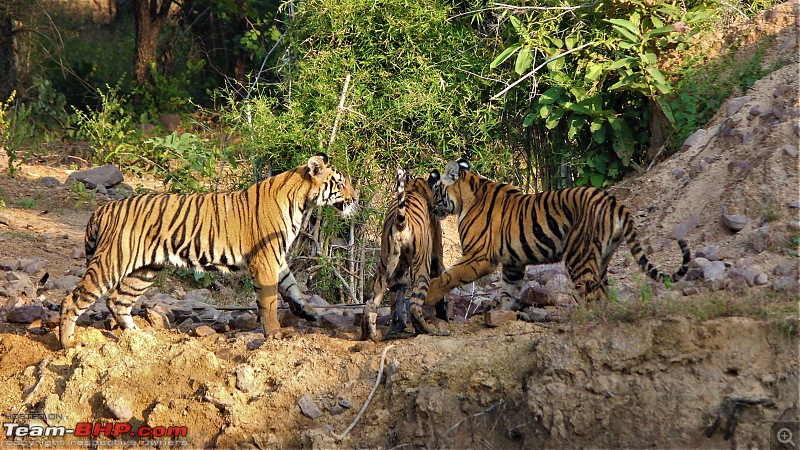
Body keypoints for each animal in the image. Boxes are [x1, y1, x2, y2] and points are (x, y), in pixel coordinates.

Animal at [62, 153, 360, 350]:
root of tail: (103, 208)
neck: (302, 201)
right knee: (74, 299)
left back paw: (140, 337)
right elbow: (269, 300)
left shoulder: (276, 257)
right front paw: (274, 332)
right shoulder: (265, 258)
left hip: (145, 269)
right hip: (112, 261)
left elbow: (292, 287)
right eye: (340, 183)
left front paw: (309, 312)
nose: (356, 198)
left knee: (118, 301)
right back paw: (68, 343)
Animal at [360, 169, 446, 342]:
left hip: (384, 267)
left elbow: (397, 301)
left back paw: (371, 335)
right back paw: (428, 330)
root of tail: (401, 221)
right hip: (422, 267)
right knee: (414, 305)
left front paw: (397, 327)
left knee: (371, 303)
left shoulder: (399, 271)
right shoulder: (436, 256)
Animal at [422, 160, 692, 314]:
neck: (467, 194)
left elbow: (448, 277)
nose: (431, 206)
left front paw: (429, 296)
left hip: (578, 256)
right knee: (604, 291)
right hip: (602, 257)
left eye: (435, 188)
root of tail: (612, 200)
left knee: (593, 295)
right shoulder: (512, 262)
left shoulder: (479, 257)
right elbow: (509, 291)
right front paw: (502, 316)